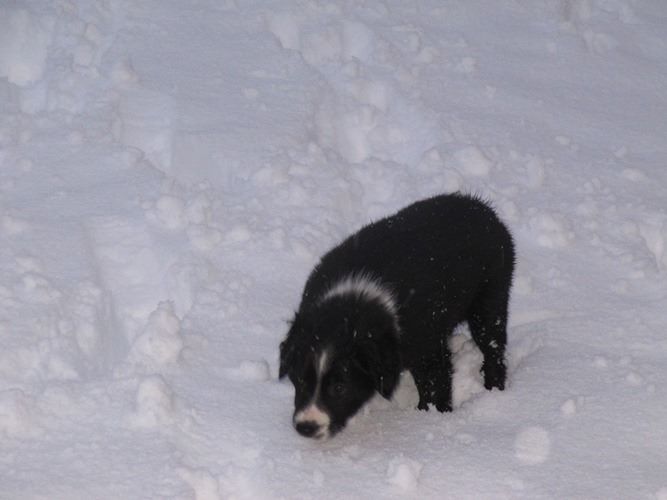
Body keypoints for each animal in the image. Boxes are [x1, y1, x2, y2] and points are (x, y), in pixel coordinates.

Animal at [280, 191, 516, 438]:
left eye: (339, 388)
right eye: (300, 380)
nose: (306, 427)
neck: (356, 304)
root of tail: (481, 206)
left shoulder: (428, 347)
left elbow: (435, 384)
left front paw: (431, 417)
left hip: (492, 295)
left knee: (493, 347)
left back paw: (493, 389)